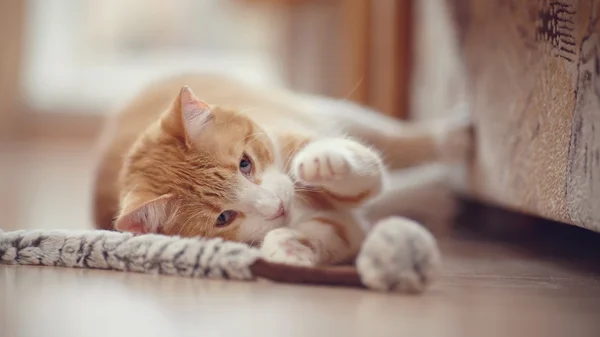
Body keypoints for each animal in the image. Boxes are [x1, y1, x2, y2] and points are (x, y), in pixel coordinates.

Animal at [91, 72, 472, 266]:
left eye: (245, 164)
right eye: (224, 218)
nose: (276, 207)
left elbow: (365, 169)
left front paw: (326, 163)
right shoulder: (345, 227)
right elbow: (333, 230)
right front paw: (288, 247)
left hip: (324, 108)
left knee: (394, 138)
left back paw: (453, 139)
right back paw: (436, 195)